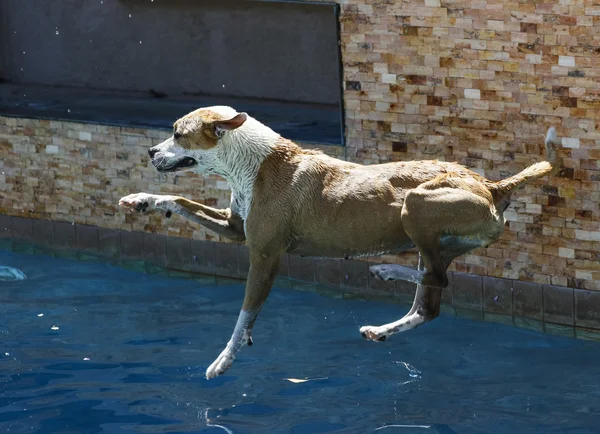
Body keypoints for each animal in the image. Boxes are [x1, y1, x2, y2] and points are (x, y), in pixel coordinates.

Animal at [118, 106, 564, 380]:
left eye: (179, 134)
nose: (151, 151)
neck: (251, 163)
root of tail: (492, 185)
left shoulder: (264, 254)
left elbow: (245, 314)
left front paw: (224, 359)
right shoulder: (234, 227)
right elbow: (179, 201)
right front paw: (141, 200)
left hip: (416, 207)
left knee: (436, 278)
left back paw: (386, 271)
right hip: (439, 235)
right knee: (430, 300)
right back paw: (382, 327)